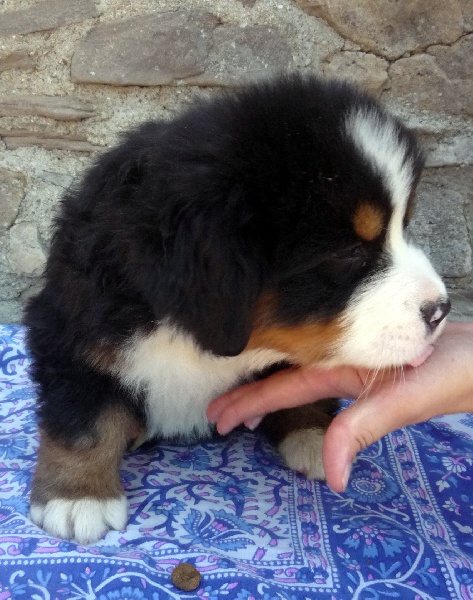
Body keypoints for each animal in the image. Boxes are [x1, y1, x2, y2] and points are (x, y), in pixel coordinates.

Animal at [25, 74, 450, 544]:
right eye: (349, 253)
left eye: (403, 228)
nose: (441, 310)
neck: (193, 336)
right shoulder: (75, 329)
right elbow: (83, 418)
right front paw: (78, 496)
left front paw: (315, 435)